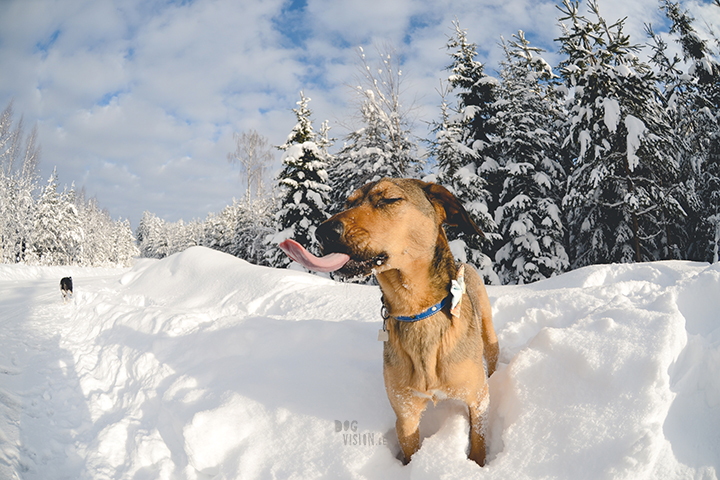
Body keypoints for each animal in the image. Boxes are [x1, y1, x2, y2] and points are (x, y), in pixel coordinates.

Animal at [318, 176, 498, 464]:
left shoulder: (477, 400)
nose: (322, 232)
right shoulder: (405, 414)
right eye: (348, 203)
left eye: (389, 199)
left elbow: (478, 442)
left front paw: (476, 465)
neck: (416, 311)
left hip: (489, 332)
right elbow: (410, 450)